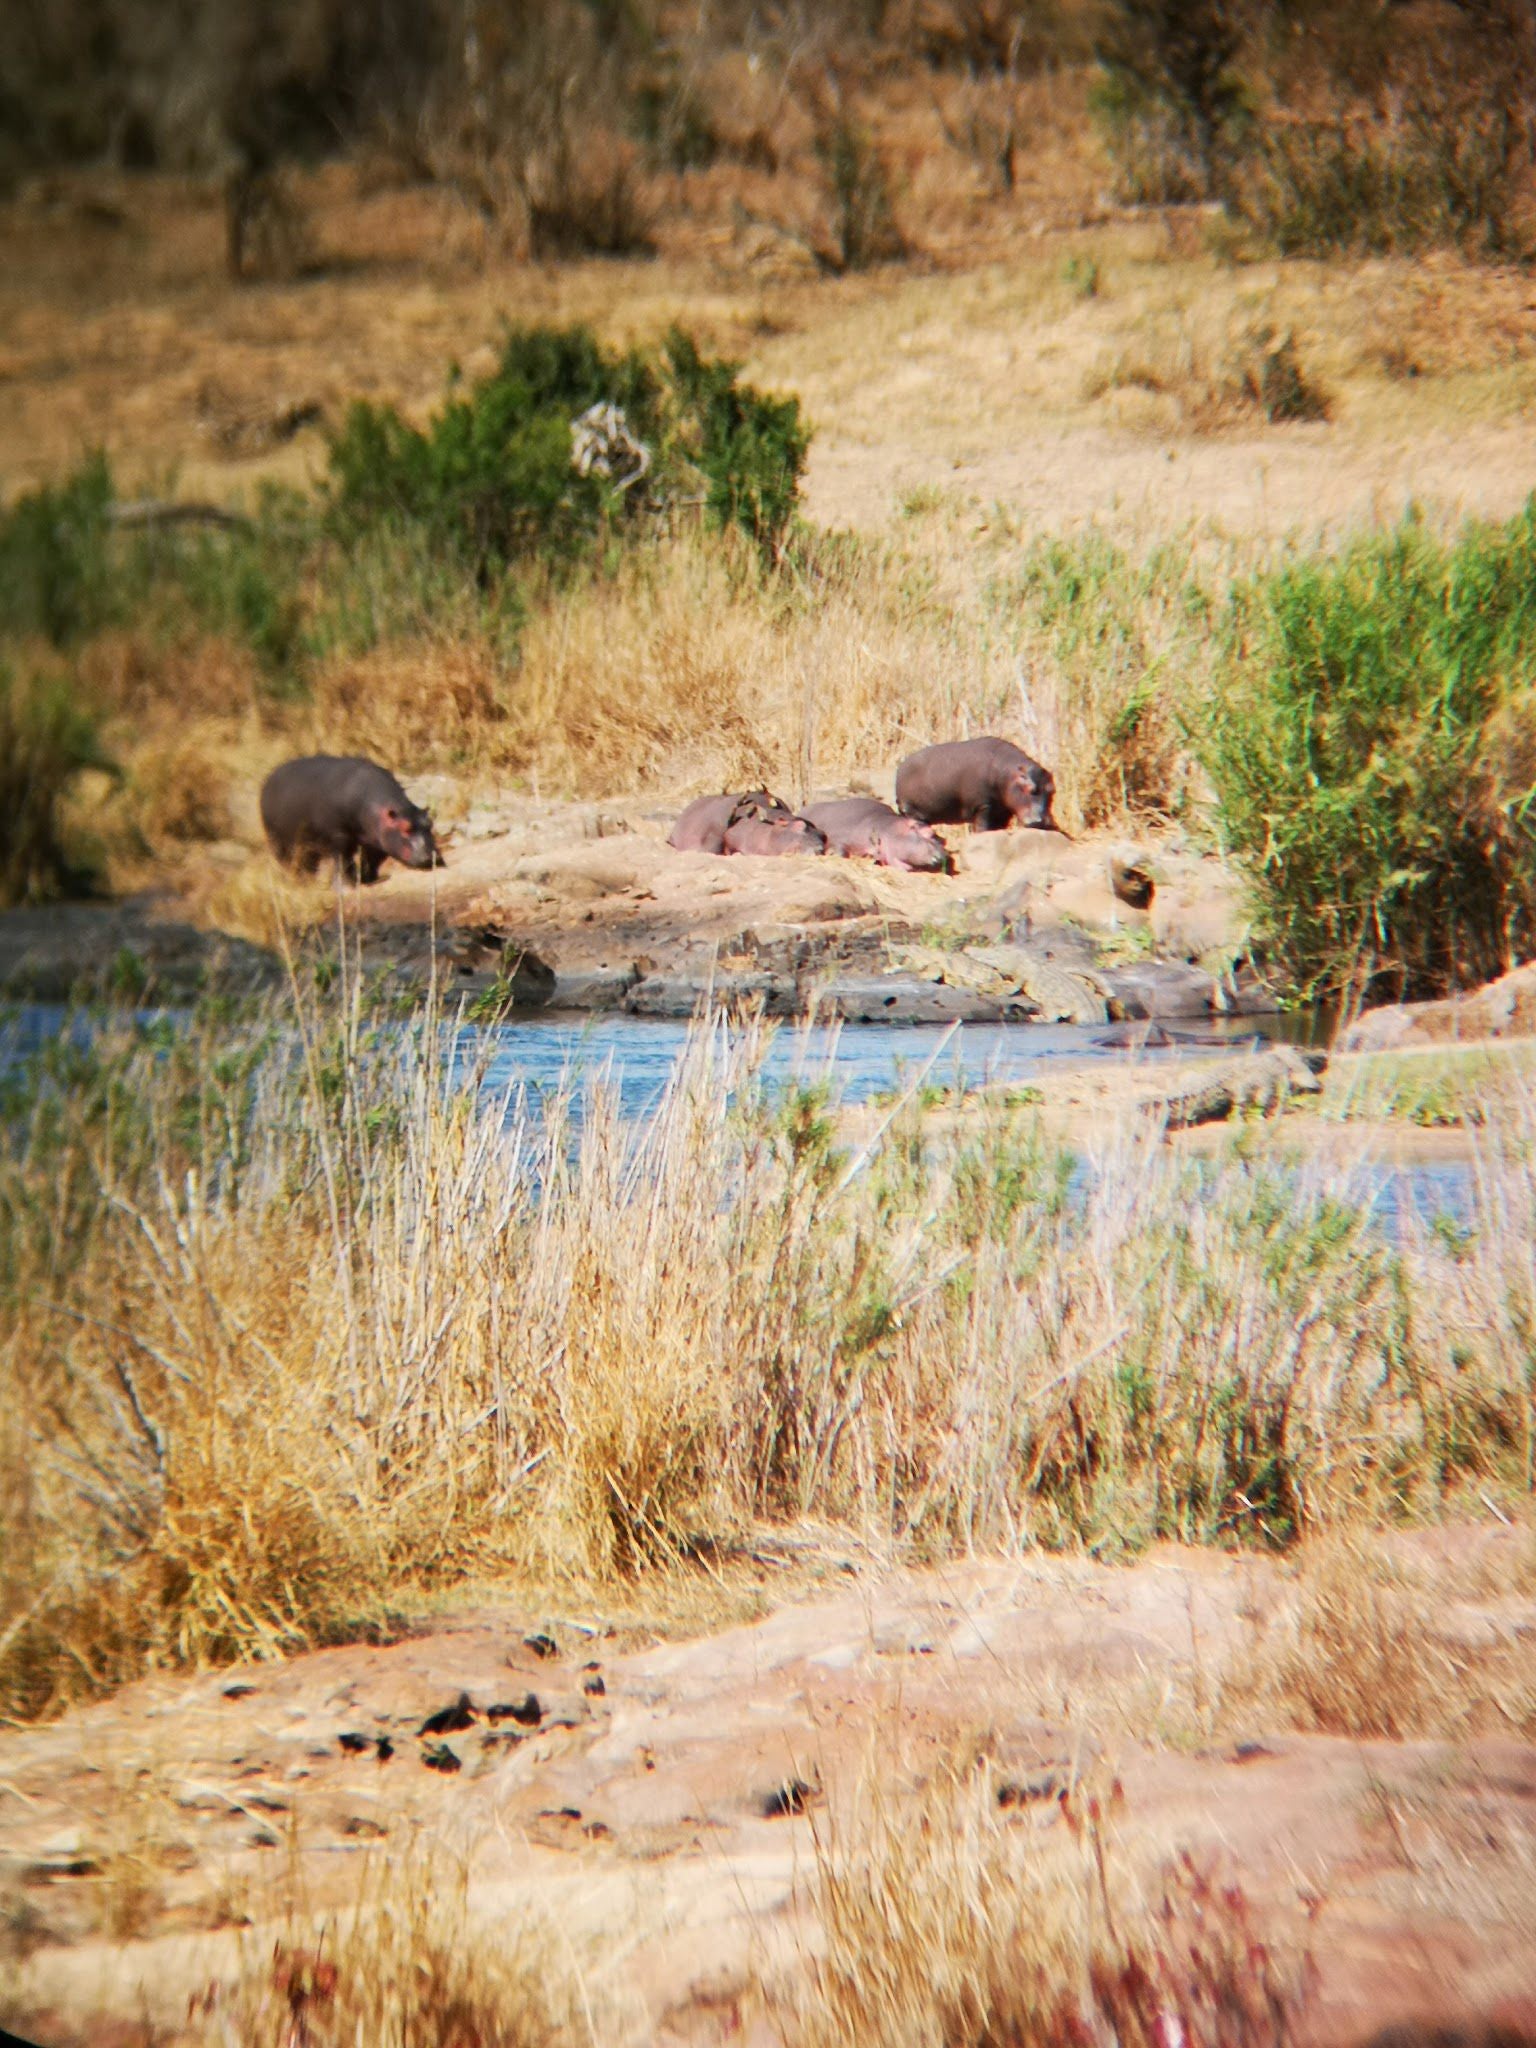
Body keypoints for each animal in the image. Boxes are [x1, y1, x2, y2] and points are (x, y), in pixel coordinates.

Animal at [262, 753, 442, 880]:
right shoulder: (339, 836)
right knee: (291, 865)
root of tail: (268, 780)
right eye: (405, 828)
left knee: (308, 865)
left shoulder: (377, 840)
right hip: (281, 844)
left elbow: (372, 860)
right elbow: (344, 860)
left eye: (430, 823)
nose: (430, 857)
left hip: (307, 847)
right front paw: (351, 882)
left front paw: (368, 878)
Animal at [798, 790, 958, 872]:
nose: (944, 856)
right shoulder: (842, 836)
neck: (887, 828)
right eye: (929, 833)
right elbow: (841, 849)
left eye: (941, 838)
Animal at [888, 737, 1056, 831]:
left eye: (1052, 791)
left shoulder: (1003, 811)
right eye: (1031, 789)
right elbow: (982, 827)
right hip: (913, 812)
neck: (1008, 774)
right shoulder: (983, 806)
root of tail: (900, 767)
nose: (1043, 822)